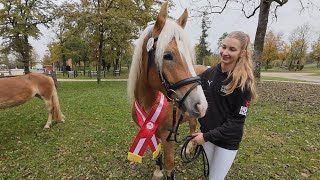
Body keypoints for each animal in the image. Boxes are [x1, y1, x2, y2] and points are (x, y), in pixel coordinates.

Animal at [128, 2, 210, 179]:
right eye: (167, 55)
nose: (201, 104)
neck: (149, 102)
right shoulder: (150, 132)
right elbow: (157, 154)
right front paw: (157, 172)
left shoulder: (168, 137)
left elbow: (169, 164)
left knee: (194, 127)